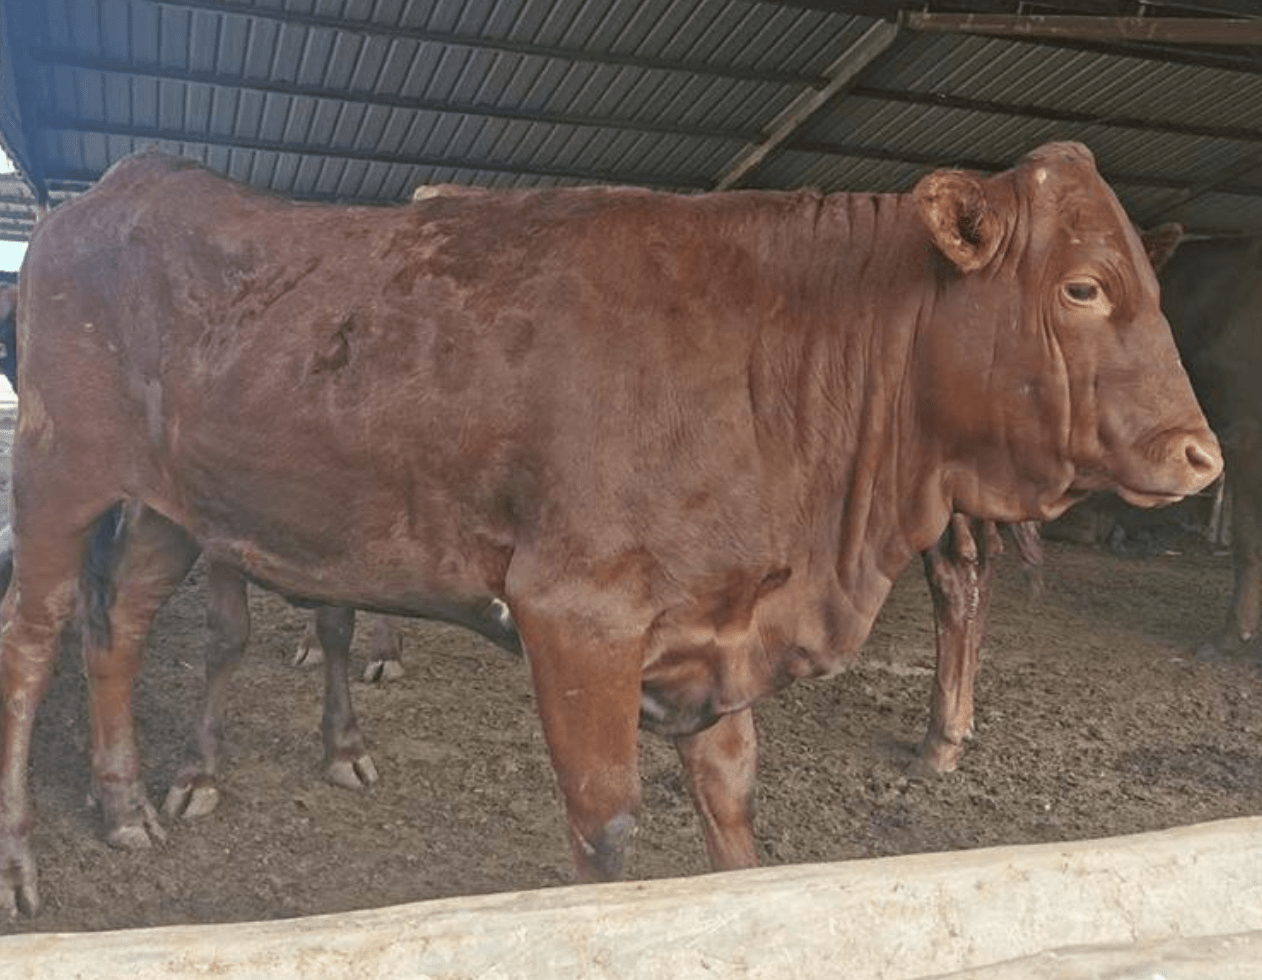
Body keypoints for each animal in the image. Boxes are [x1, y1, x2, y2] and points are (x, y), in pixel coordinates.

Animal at [2, 141, 1221, 913]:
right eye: (1081, 286)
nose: (1201, 452)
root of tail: (123, 185)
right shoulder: (575, 612)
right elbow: (606, 831)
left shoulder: (718, 630)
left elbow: (732, 809)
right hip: (61, 468)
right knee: (37, 635)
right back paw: (25, 858)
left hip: (174, 504)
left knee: (119, 626)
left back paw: (122, 804)